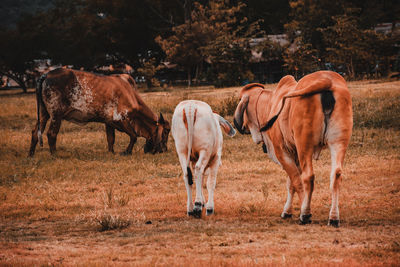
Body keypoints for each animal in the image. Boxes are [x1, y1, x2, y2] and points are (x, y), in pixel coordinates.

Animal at [28, 68, 170, 157]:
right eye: (166, 131)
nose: (164, 150)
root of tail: (46, 75)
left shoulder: (109, 121)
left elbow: (111, 138)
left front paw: (111, 152)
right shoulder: (120, 118)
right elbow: (133, 136)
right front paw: (126, 152)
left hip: (44, 113)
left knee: (35, 132)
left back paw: (31, 155)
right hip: (56, 115)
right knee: (51, 134)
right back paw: (55, 155)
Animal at [234, 71, 354, 228]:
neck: (271, 105)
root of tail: (327, 80)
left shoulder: (282, 152)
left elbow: (296, 181)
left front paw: (301, 211)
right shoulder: (294, 154)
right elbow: (290, 183)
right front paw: (287, 211)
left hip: (305, 145)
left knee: (308, 177)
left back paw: (305, 214)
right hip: (338, 142)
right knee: (336, 175)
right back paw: (333, 217)